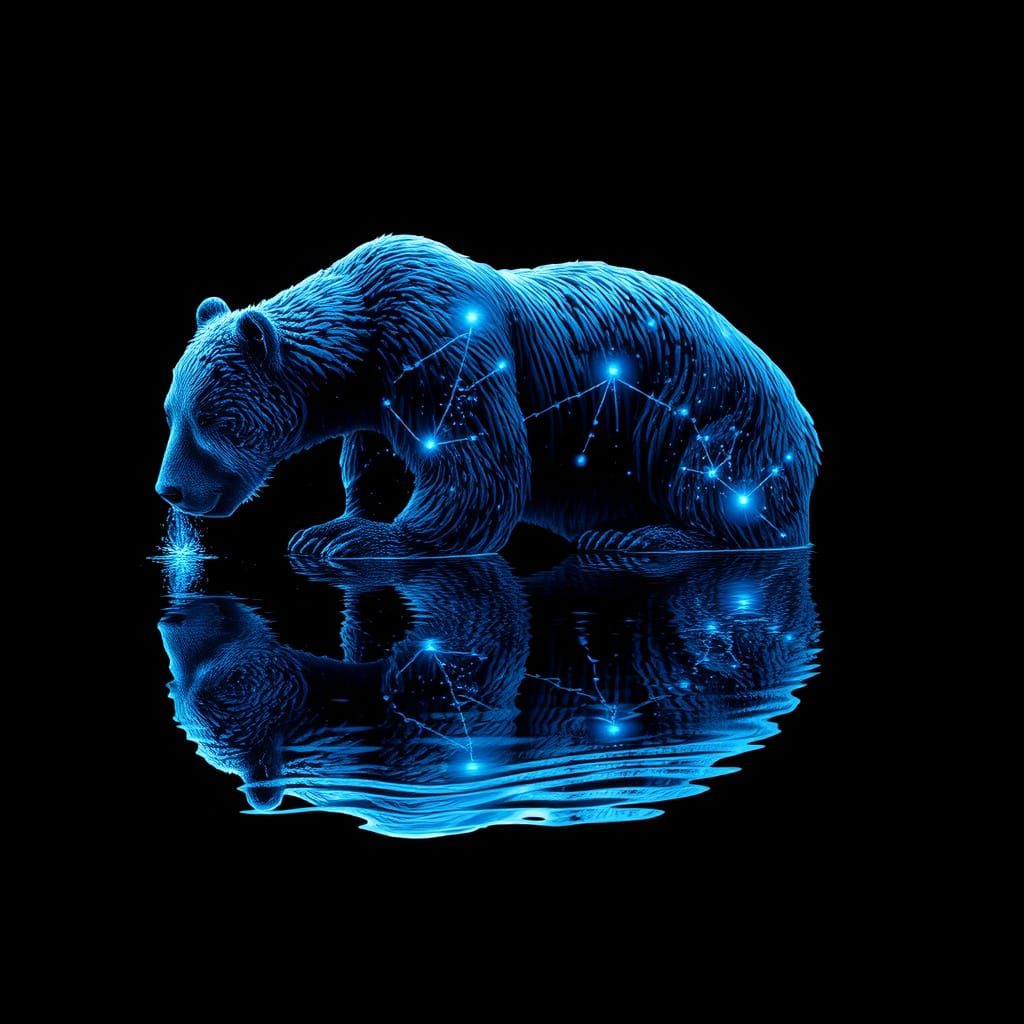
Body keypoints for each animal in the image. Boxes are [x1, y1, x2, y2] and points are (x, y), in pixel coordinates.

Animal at [157, 235, 820, 558]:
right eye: (170, 411)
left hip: (707, 404)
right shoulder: (380, 401)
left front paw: (365, 539)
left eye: (209, 415)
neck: (364, 347)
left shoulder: (439, 343)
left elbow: (476, 461)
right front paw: (328, 527)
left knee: (719, 481)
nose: (171, 490)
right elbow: (378, 460)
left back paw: (643, 536)